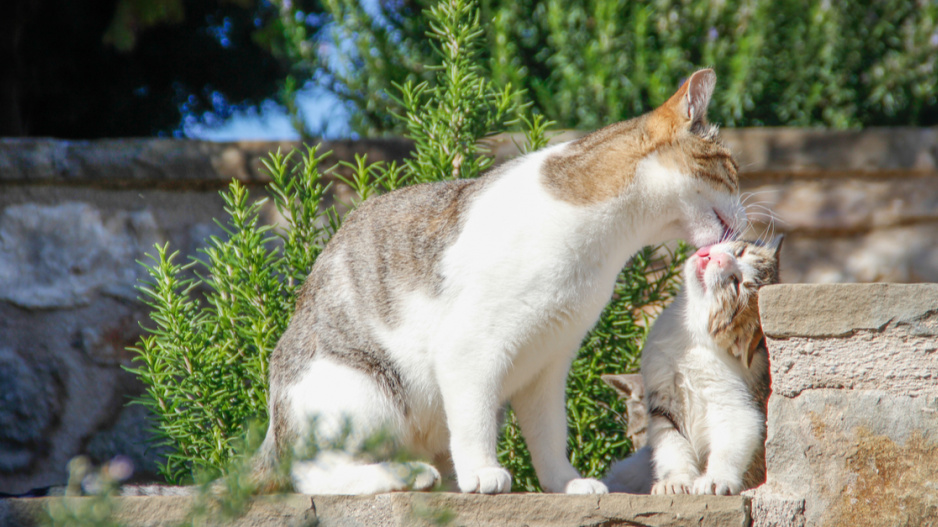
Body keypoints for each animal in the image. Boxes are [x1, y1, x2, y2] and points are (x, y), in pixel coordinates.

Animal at [250, 69, 744, 496]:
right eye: (731, 170)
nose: (746, 214)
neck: (605, 247)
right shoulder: (469, 348)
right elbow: (473, 422)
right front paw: (482, 472)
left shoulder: (549, 361)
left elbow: (549, 434)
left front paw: (565, 483)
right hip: (367, 393)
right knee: (312, 474)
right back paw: (408, 474)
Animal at [600, 237, 784, 498]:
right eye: (740, 252)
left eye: (735, 284)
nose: (721, 258)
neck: (688, 335)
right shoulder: (662, 403)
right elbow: (672, 446)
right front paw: (675, 481)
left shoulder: (735, 403)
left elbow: (734, 436)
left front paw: (717, 479)